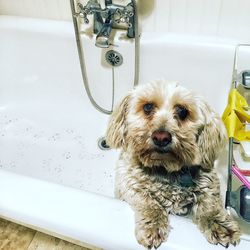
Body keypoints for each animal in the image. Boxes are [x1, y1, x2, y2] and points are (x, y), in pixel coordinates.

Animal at [105, 79, 240, 248]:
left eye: (182, 111)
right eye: (148, 107)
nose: (161, 137)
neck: (165, 169)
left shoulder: (209, 183)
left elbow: (210, 204)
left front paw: (219, 223)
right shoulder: (129, 183)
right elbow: (148, 202)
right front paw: (154, 225)